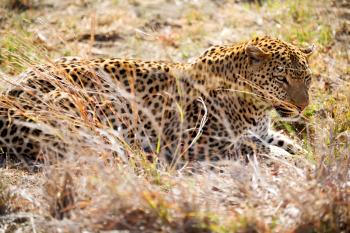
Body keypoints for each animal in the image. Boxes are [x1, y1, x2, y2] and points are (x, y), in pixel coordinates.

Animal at [0, 35, 314, 167]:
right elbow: (255, 148)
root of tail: (7, 96)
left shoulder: (263, 131)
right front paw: (287, 159)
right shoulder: (197, 141)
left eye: (307, 79)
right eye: (282, 79)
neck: (257, 106)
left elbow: (284, 141)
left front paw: (304, 153)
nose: (302, 106)